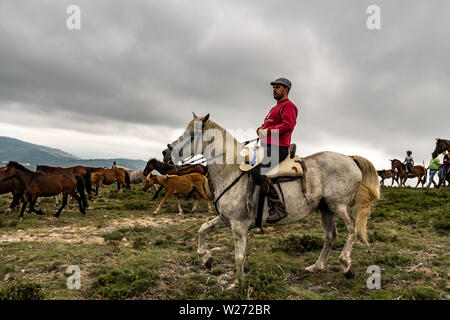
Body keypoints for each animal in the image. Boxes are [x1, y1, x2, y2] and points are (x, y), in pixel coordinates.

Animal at [162, 114, 380, 282]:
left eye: (192, 135)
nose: (165, 152)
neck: (232, 171)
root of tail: (350, 158)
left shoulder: (238, 225)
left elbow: (238, 256)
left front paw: (239, 283)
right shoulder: (225, 219)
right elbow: (202, 229)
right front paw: (206, 259)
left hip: (339, 206)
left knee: (351, 230)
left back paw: (345, 265)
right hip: (325, 208)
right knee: (330, 236)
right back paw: (316, 266)